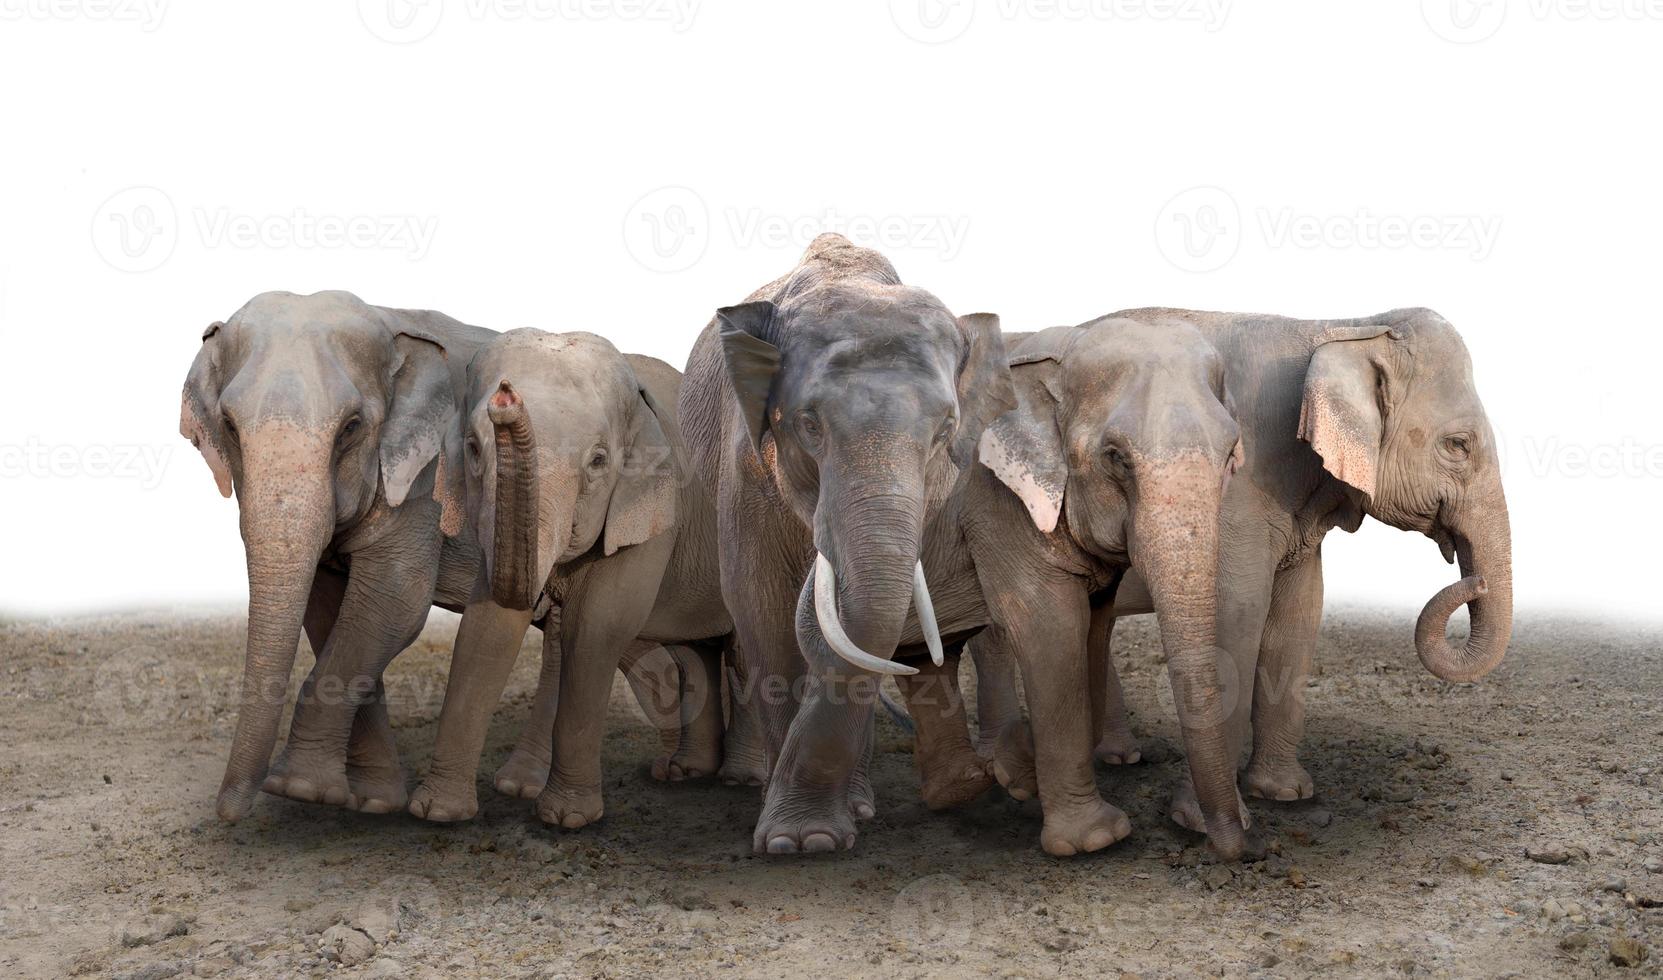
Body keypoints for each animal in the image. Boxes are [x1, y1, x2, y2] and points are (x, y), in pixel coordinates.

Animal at [175, 287, 528, 818]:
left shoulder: (426, 477)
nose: (227, 813)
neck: (389, 321)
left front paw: (297, 788)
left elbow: (393, 601)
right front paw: (367, 800)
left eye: (351, 427)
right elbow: (328, 609)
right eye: (231, 428)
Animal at [412, 329, 731, 825]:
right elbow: (489, 628)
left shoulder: (652, 510)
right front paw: (437, 812)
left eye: (598, 461)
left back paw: (742, 779)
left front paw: (566, 819)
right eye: (472, 448)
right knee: (702, 647)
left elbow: (596, 628)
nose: (506, 397)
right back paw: (689, 772)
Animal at [675, 232, 1011, 851]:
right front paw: (794, 842)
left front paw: (823, 831)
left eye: (946, 432)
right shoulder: (744, 466)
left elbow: (872, 625)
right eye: (809, 424)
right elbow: (760, 608)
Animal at [977, 304, 1516, 825]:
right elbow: (1237, 611)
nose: (1476, 581)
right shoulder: (1240, 491)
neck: (1343, 327)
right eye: (1458, 445)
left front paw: (1284, 794)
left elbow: (1298, 614)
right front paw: (1202, 821)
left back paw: (1114, 759)